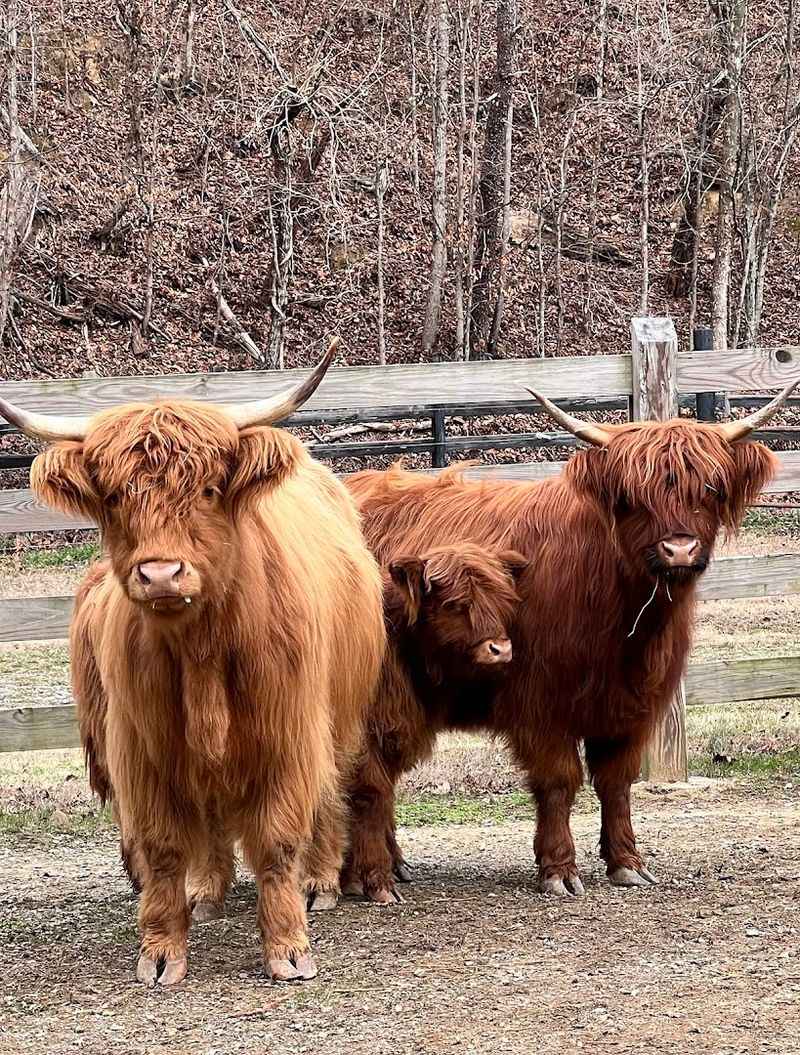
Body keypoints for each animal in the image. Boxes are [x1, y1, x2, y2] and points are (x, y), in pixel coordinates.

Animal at [0, 342, 386, 985]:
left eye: (207, 490)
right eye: (115, 497)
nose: (160, 574)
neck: (203, 651)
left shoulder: (286, 735)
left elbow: (277, 840)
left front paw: (289, 949)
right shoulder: (145, 747)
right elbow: (161, 847)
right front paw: (161, 952)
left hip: (340, 714)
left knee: (332, 788)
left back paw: (319, 882)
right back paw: (206, 890)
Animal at [342, 543, 527, 903]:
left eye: (501, 599)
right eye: (454, 604)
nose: (500, 649)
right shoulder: (364, 739)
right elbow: (369, 797)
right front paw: (374, 880)